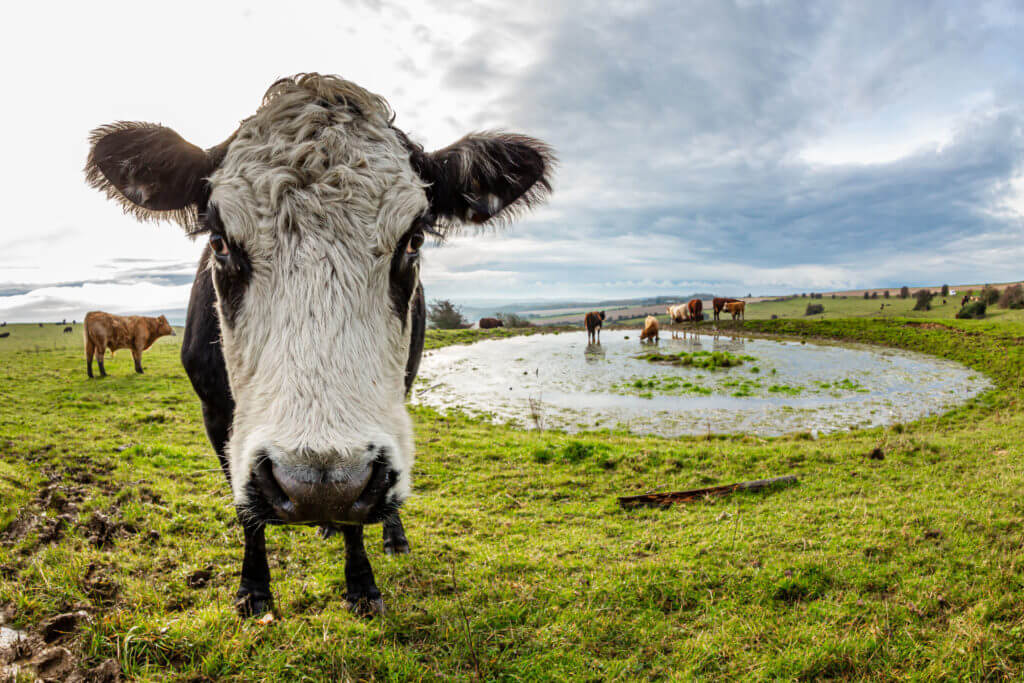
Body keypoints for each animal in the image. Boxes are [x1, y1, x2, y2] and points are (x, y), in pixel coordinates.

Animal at [83, 72, 557, 618]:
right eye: (220, 242)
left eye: (414, 240)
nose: (315, 486)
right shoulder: (217, 416)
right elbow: (246, 510)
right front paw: (254, 590)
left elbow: (355, 515)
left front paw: (362, 586)